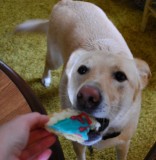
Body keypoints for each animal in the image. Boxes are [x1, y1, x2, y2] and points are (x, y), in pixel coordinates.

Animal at [15, 0, 151, 159]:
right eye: (82, 69)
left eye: (121, 76)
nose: (87, 96)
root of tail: (66, 2)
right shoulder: (78, 145)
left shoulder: (124, 144)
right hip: (55, 59)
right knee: (47, 64)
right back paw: (46, 78)